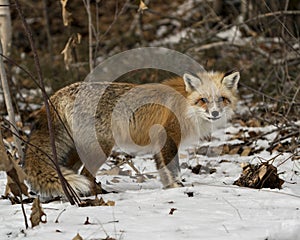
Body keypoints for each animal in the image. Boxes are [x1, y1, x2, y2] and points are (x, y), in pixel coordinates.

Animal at [22, 70, 239, 198]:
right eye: (203, 100)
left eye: (221, 99)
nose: (215, 113)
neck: (185, 105)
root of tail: (58, 94)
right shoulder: (169, 138)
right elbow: (173, 169)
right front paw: (179, 188)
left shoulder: (158, 143)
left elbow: (163, 171)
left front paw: (169, 189)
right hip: (101, 148)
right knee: (84, 175)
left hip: (78, 149)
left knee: (69, 171)